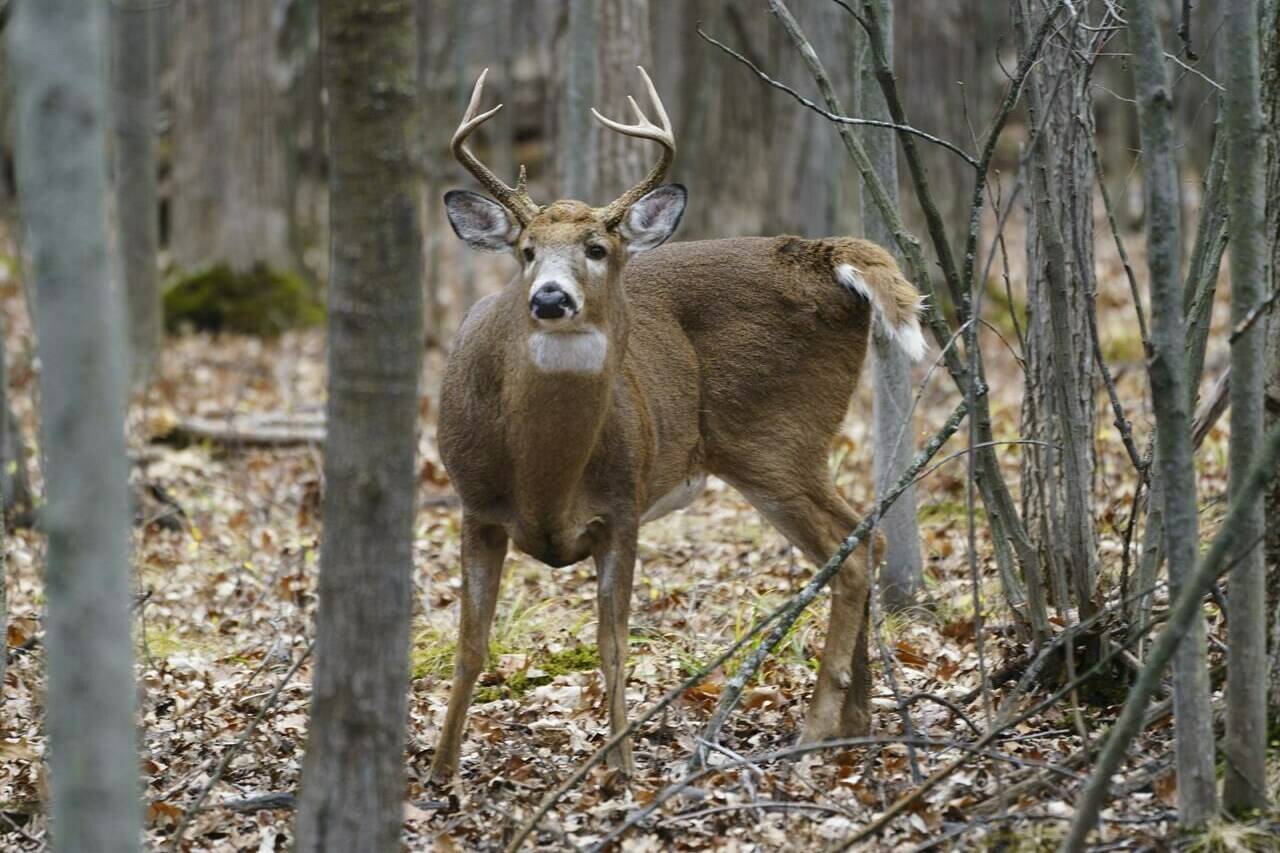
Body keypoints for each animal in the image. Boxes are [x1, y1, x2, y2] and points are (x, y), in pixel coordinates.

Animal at [427, 68, 921, 783]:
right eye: (525, 251)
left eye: (598, 249)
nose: (550, 298)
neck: (543, 474)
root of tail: (822, 255)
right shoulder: (474, 505)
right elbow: (471, 645)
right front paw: (440, 771)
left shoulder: (621, 504)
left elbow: (611, 646)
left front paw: (623, 767)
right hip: (776, 451)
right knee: (862, 538)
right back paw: (853, 724)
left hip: (777, 439)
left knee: (851, 548)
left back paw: (815, 729)